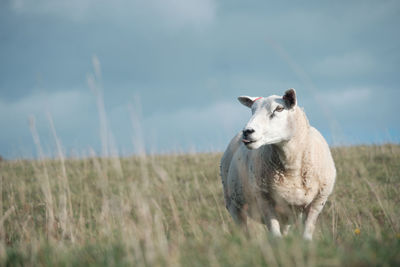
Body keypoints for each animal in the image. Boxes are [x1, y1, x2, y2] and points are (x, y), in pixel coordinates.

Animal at [220, 88, 336, 241]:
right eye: (252, 110)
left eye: (279, 109)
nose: (247, 132)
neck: (291, 167)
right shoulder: (265, 200)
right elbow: (275, 237)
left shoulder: (317, 202)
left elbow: (306, 236)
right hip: (234, 205)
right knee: (244, 231)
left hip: (287, 214)